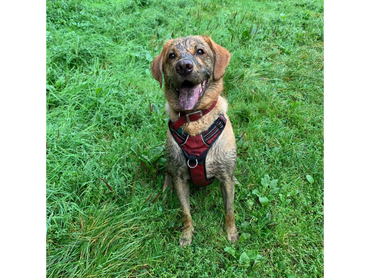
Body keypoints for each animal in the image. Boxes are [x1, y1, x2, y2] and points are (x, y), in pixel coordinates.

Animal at [151, 35, 240, 245]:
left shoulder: (225, 177)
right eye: (171, 55)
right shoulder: (180, 177)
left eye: (200, 51)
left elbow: (229, 210)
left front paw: (231, 233)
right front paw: (187, 233)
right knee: (167, 174)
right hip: (170, 164)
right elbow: (185, 212)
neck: (195, 121)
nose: (184, 66)